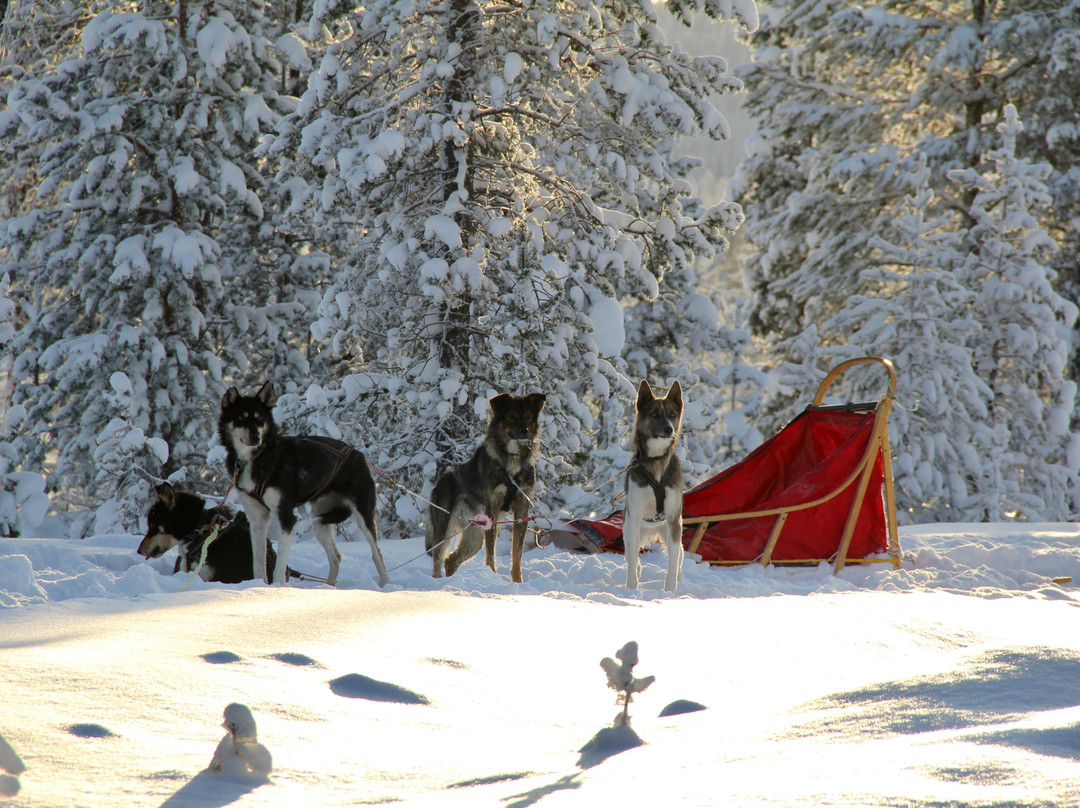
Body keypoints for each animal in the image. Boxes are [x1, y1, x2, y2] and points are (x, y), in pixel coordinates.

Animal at [217, 384, 390, 587]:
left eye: (260, 420)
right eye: (241, 419)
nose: (255, 437)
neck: (259, 458)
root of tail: (359, 455)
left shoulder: (286, 518)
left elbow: (279, 566)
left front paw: (277, 587)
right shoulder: (257, 519)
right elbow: (258, 563)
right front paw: (258, 585)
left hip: (363, 515)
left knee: (376, 555)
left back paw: (388, 586)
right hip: (320, 520)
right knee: (335, 557)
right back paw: (327, 587)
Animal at [425, 391, 548, 578]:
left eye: (528, 416)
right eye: (511, 416)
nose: (524, 431)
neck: (512, 462)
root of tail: (441, 480)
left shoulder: (521, 510)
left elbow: (517, 555)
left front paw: (517, 581)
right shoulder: (493, 510)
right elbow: (491, 554)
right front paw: (493, 574)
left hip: (475, 537)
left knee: (451, 560)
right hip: (446, 528)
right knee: (438, 559)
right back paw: (437, 581)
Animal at [626, 378, 682, 591]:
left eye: (673, 415)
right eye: (654, 414)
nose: (669, 429)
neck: (656, 461)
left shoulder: (674, 520)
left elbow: (672, 562)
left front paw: (670, 591)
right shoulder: (634, 520)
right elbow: (633, 559)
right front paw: (631, 589)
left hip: (671, 529)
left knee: (680, 556)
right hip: (628, 528)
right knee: (631, 555)